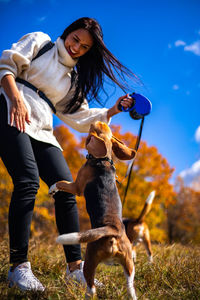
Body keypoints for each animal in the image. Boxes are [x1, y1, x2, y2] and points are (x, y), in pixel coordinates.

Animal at [49, 121, 138, 300]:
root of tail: (113, 231)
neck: (103, 160)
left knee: (92, 289)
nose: (94, 120)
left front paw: (53, 187)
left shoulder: (76, 186)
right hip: (129, 265)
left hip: (90, 262)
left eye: (93, 127)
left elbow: (61, 182)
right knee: (130, 287)